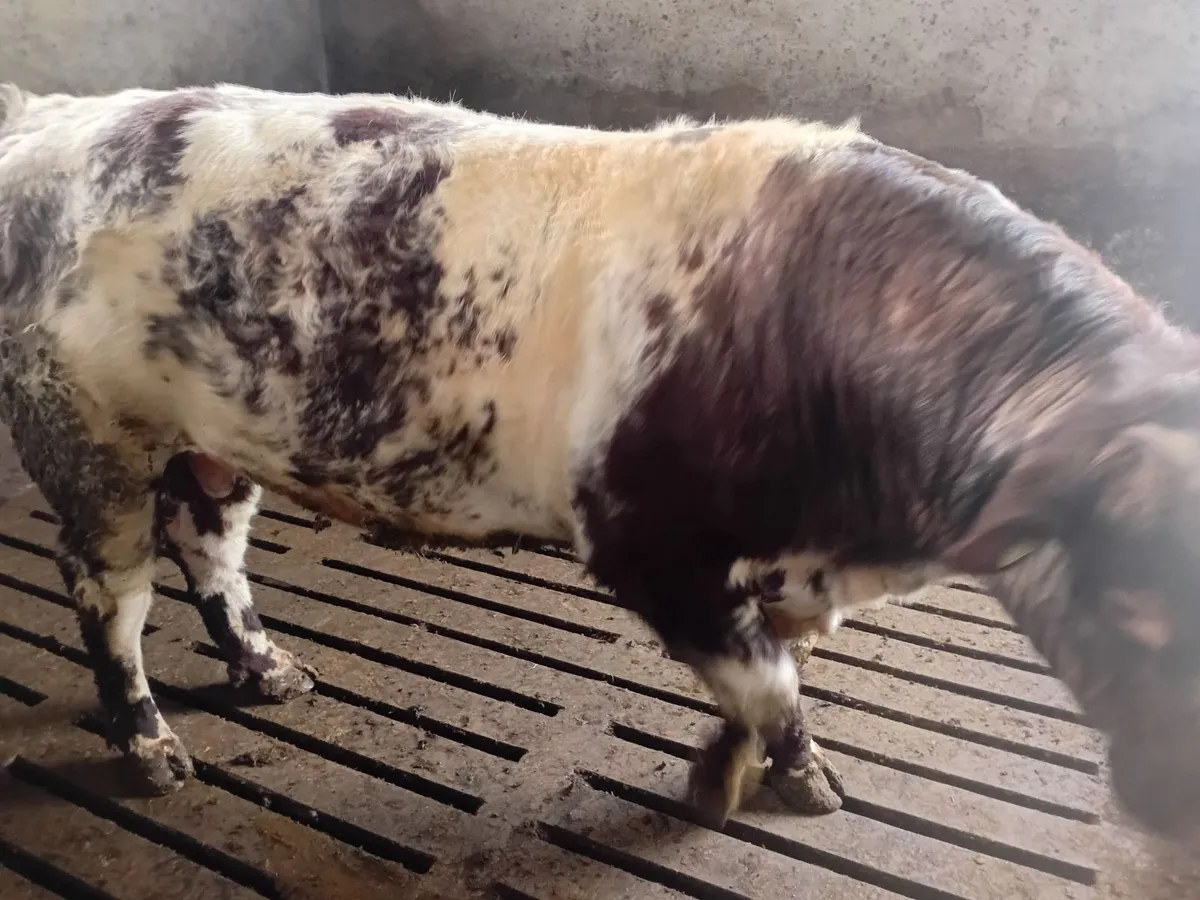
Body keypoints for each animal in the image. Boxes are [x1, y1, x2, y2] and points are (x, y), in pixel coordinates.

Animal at [1, 82, 1199, 838]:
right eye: (1133, 606)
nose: (1166, 801)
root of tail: (53, 116)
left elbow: (770, 677)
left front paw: (745, 771)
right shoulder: (647, 544)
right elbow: (770, 681)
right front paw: (777, 787)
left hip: (217, 436)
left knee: (211, 547)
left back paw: (271, 671)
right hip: (87, 436)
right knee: (109, 598)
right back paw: (153, 752)